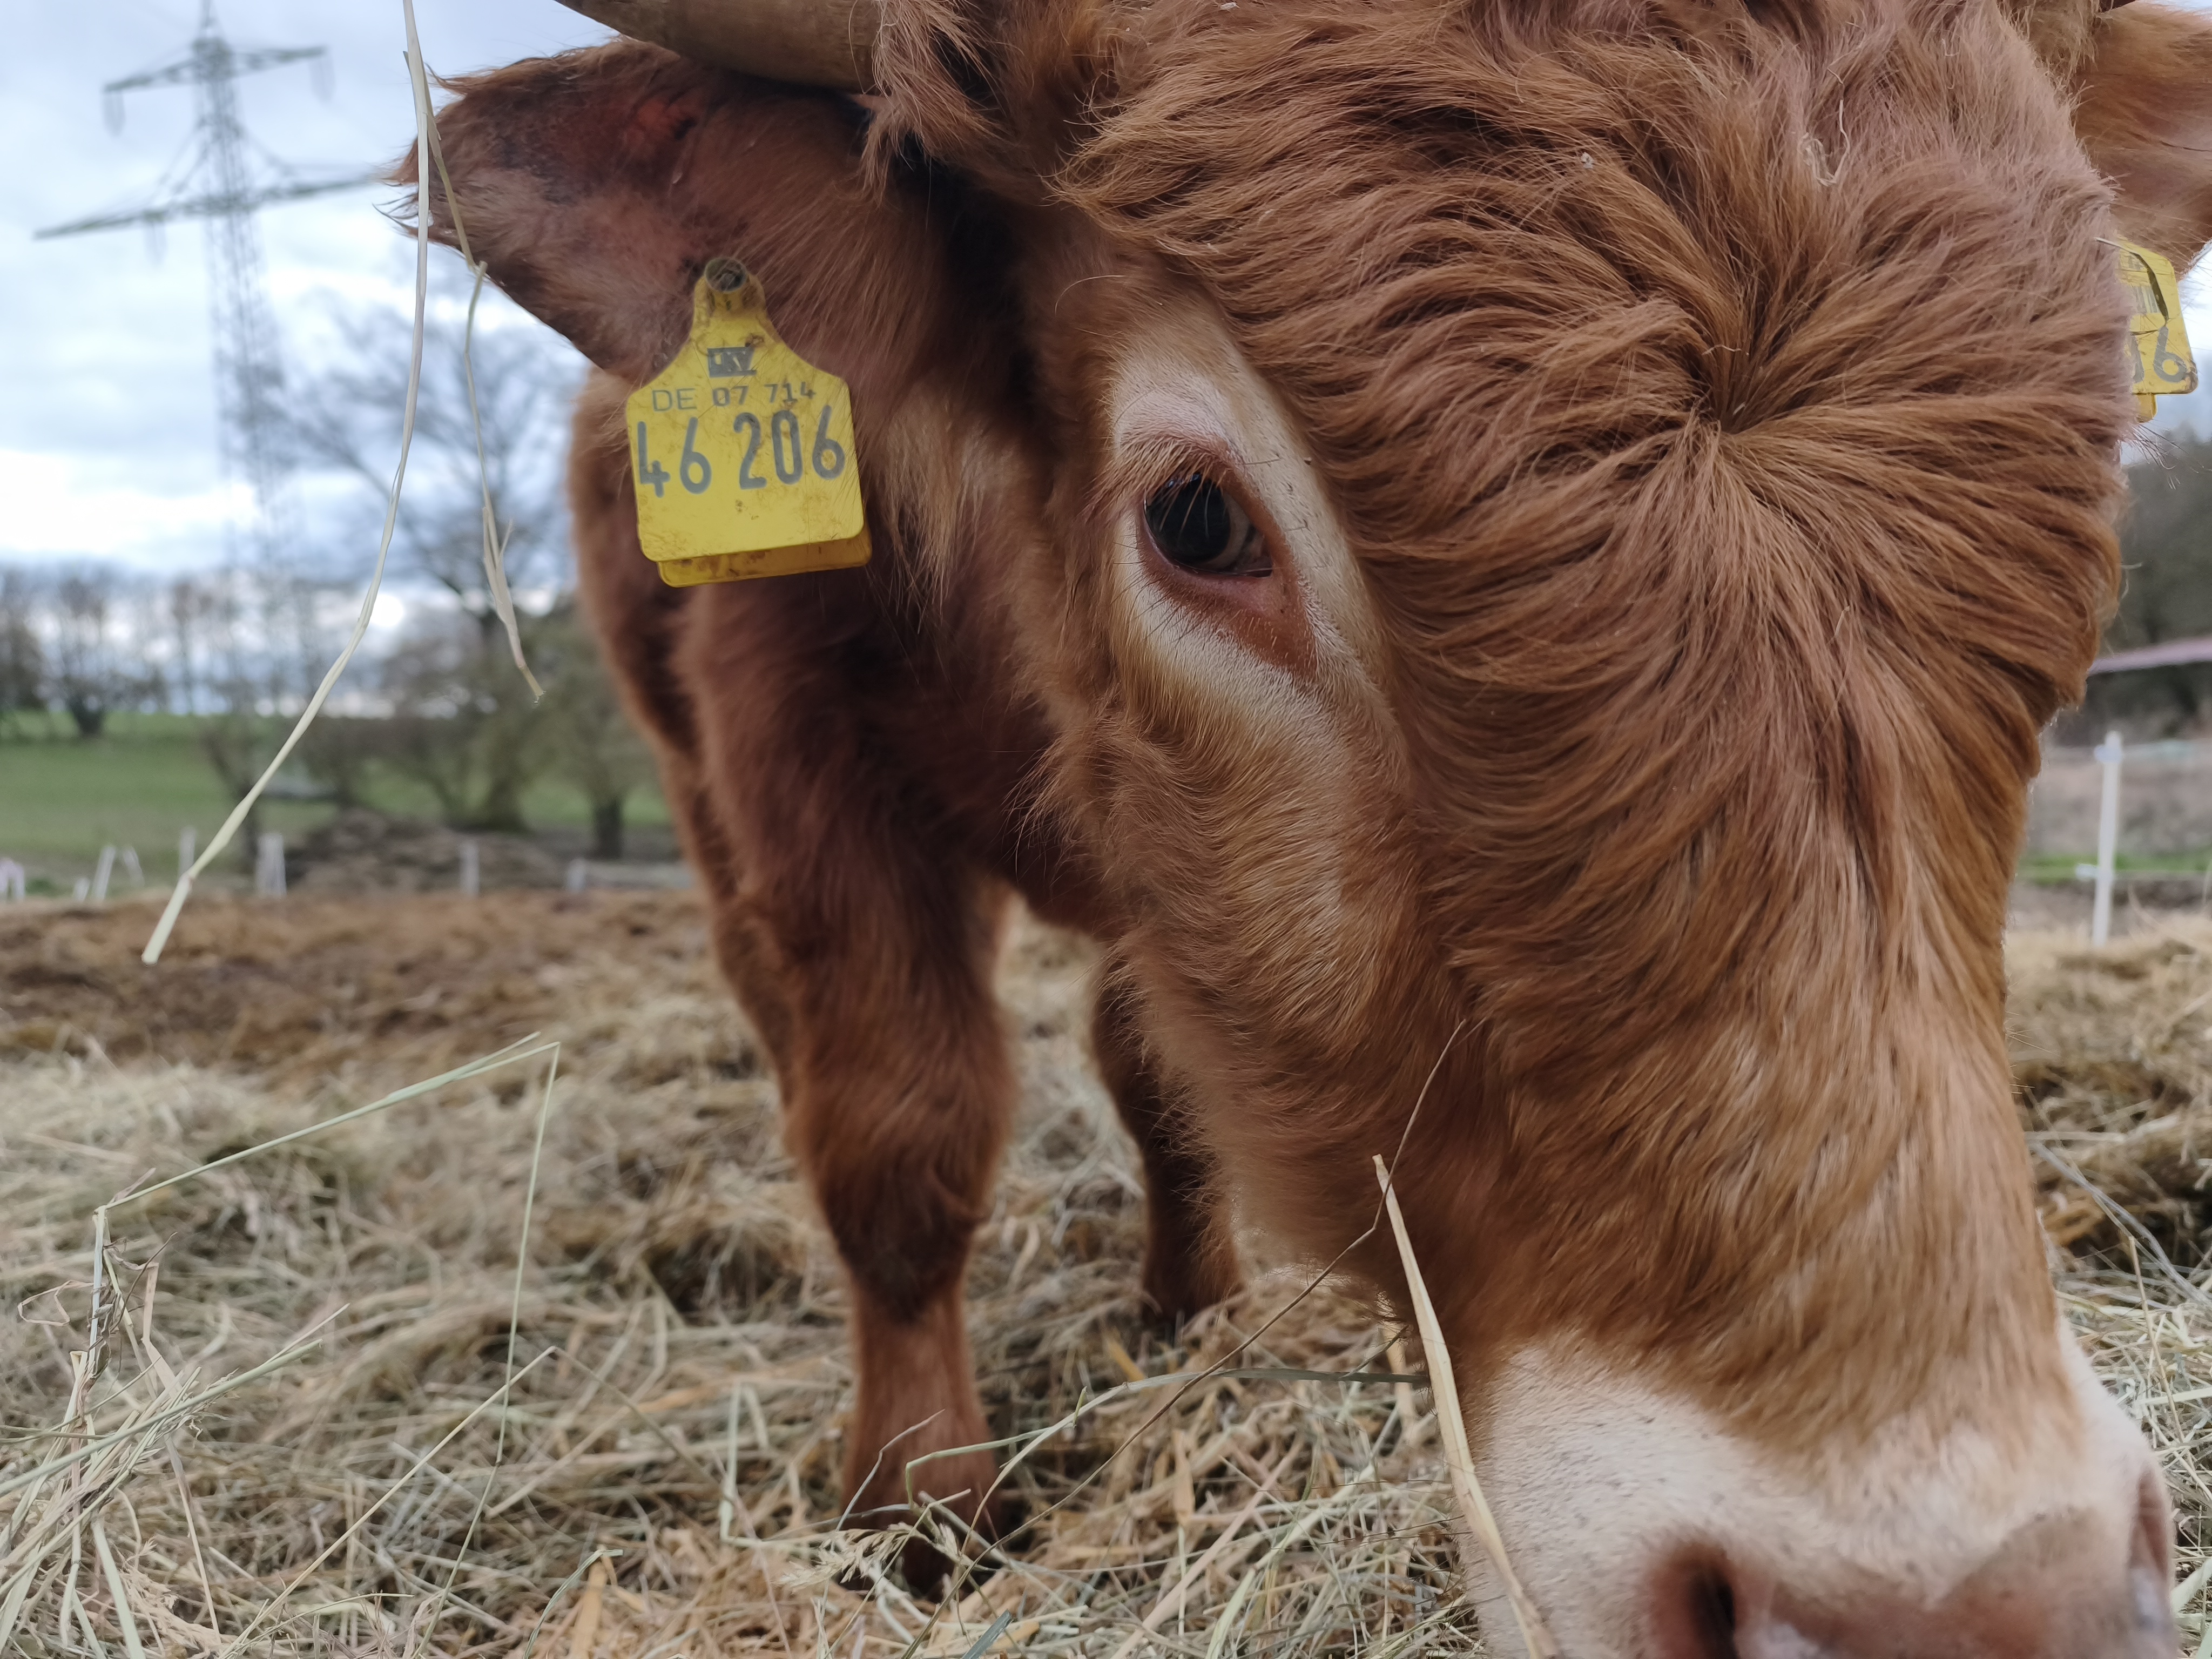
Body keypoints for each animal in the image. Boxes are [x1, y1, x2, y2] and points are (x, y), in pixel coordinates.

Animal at [409, 0, 2212, 1649]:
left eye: (2076, 509)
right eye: (1198, 520)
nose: (1976, 1608)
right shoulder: (789, 734)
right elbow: (898, 1131)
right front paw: (919, 1504)